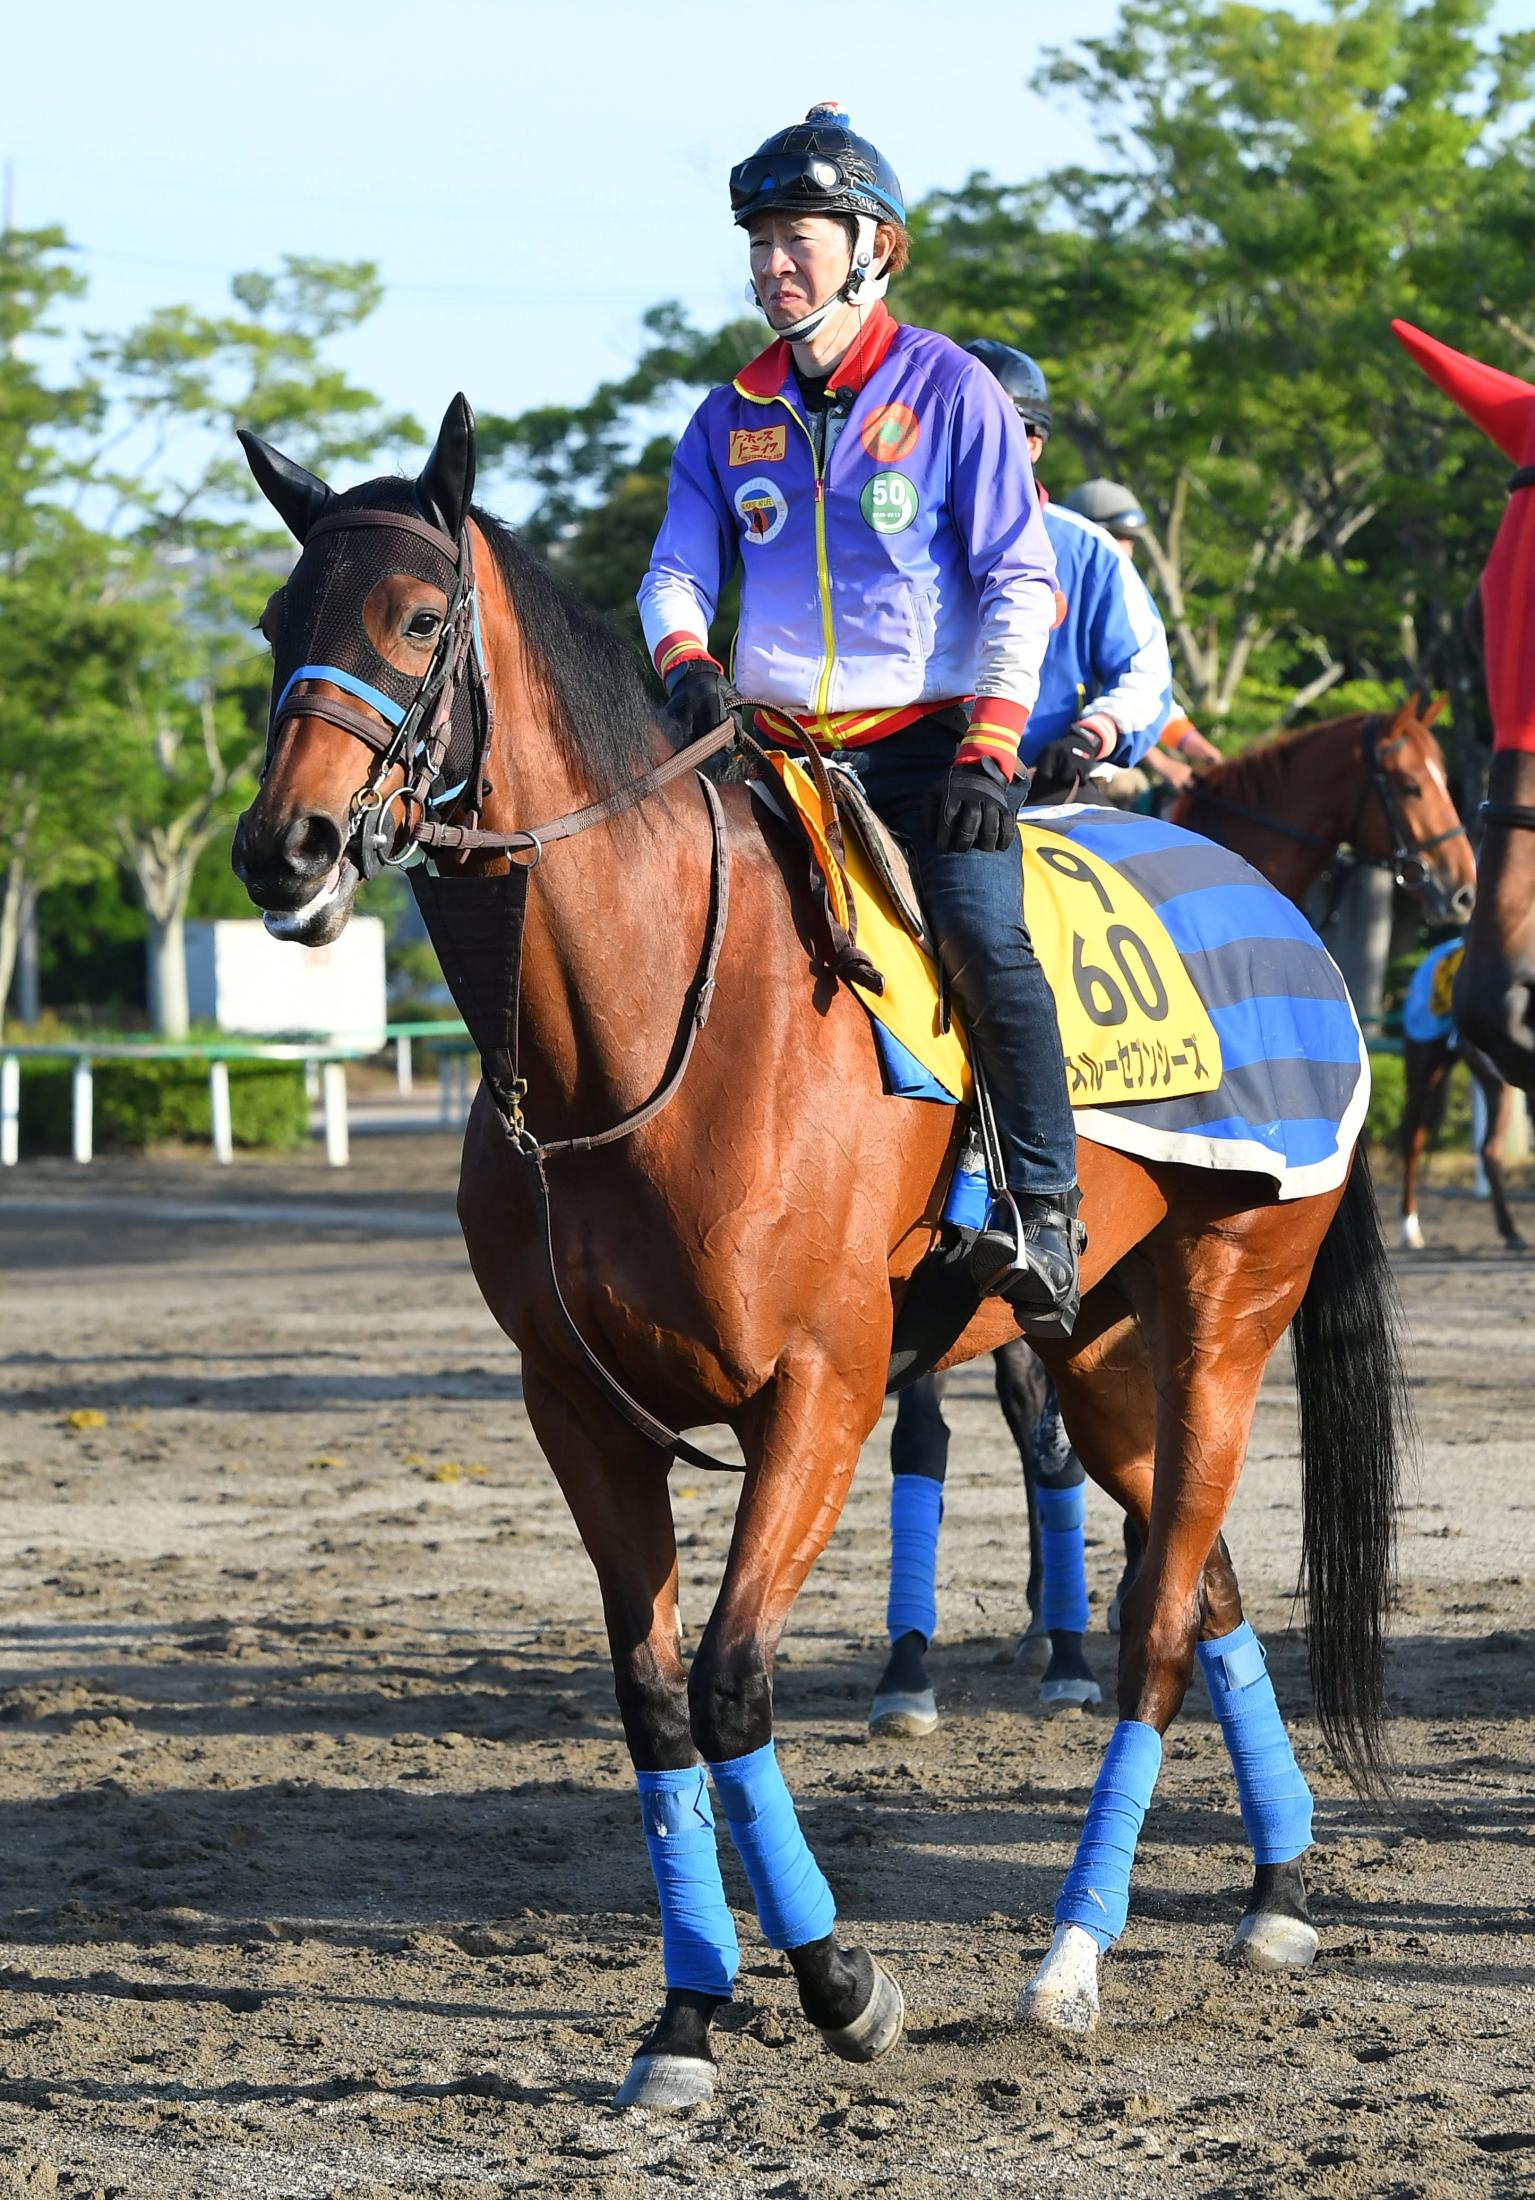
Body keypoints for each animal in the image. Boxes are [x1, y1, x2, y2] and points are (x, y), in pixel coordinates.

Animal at [229, 404, 1407, 2103]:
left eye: (417, 616)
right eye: (275, 625)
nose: (288, 848)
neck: (646, 1030)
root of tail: (1284, 917)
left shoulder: (820, 1391)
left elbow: (731, 1682)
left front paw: (842, 1982)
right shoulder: (577, 1415)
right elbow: (655, 1704)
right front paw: (684, 2017)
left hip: (1227, 1320)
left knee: (1156, 1628)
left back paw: (1072, 1953)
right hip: (1100, 1350)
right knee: (1210, 1595)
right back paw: (1274, 1888)